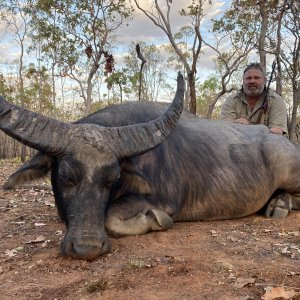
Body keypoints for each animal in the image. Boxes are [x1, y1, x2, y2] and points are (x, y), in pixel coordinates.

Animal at [0, 73, 300, 260]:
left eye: (112, 179)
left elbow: (111, 218)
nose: (87, 248)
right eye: (65, 177)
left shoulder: (160, 200)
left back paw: (279, 204)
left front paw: (157, 220)